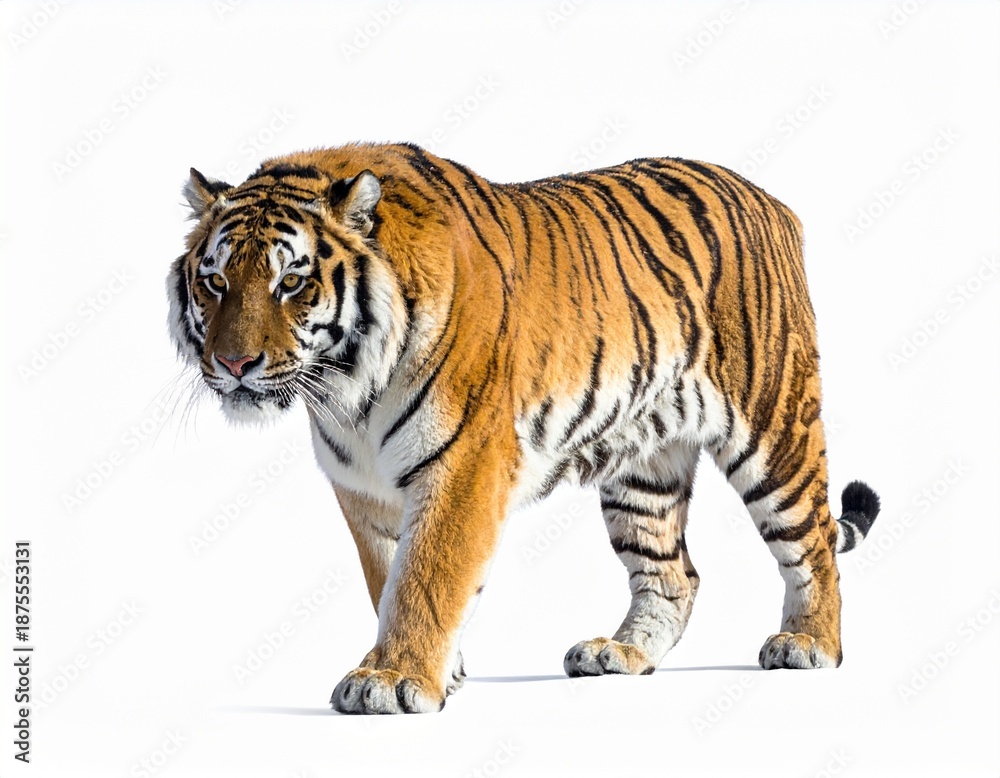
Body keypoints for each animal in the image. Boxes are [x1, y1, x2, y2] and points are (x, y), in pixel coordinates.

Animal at [168, 142, 881, 714]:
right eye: (215, 282)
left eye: (291, 282)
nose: (233, 364)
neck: (346, 388)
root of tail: (768, 199)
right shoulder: (362, 487)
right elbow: (387, 577)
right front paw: (437, 669)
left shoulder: (464, 463)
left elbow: (426, 576)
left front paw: (391, 680)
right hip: (641, 469)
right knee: (674, 575)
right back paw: (621, 654)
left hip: (774, 426)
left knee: (814, 541)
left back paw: (809, 642)